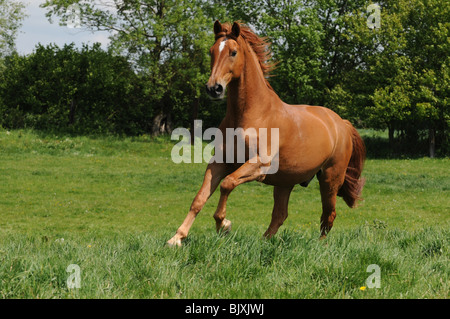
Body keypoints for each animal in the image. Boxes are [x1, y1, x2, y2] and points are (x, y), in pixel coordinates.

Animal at [167, 21, 364, 248]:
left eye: (233, 52)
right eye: (211, 52)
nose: (213, 88)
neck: (251, 114)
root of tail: (342, 123)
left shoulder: (258, 165)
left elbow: (227, 184)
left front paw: (224, 225)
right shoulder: (220, 162)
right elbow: (199, 199)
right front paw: (176, 238)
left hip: (330, 178)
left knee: (328, 215)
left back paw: (318, 245)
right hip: (285, 182)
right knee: (280, 215)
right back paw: (263, 243)